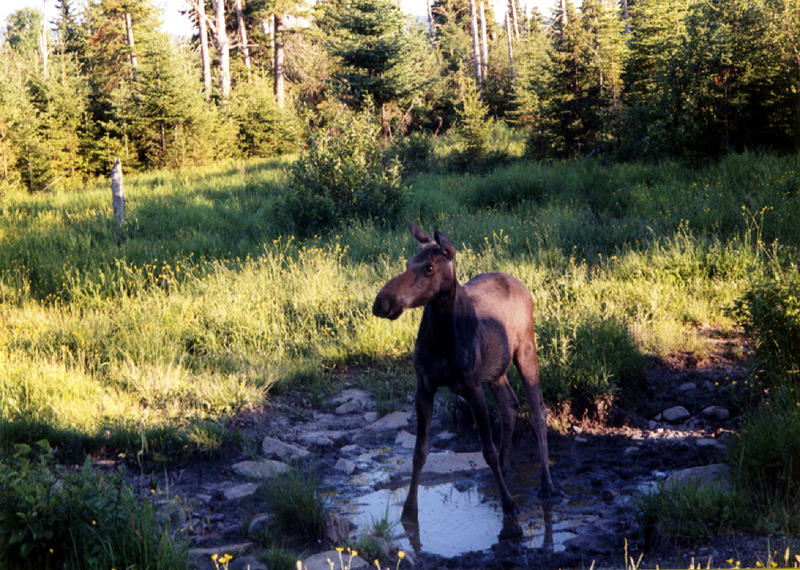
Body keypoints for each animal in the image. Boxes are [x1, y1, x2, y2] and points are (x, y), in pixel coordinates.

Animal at [370, 220, 552, 520]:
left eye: (429, 267)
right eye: (408, 263)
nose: (382, 302)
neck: (442, 338)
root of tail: (522, 285)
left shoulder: (471, 386)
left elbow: (487, 449)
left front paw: (509, 504)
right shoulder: (424, 385)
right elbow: (419, 451)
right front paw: (409, 508)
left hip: (526, 351)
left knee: (538, 410)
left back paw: (546, 484)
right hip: (496, 372)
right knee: (510, 405)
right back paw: (506, 467)